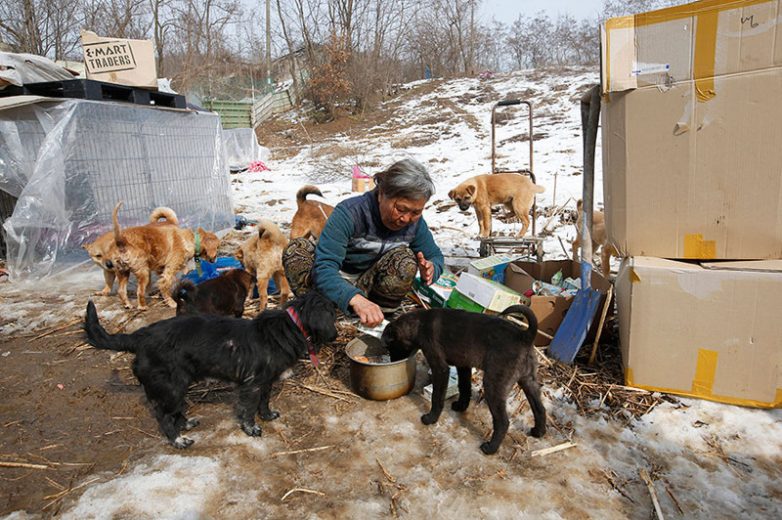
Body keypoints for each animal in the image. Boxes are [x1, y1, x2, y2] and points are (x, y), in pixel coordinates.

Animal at [84, 290, 338, 448]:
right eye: (333, 315)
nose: (336, 336)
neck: (290, 326)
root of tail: (139, 336)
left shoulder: (265, 383)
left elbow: (264, 403)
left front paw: (267, 416)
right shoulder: (251, 385)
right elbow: (248, 410)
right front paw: (252, 429)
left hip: (177, 386)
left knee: (174, 412)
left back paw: (185, 424)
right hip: (172, 387)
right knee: (164, 416)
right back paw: (178, 440)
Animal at [382, 304, 548, 456]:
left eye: (391, 348)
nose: (392, 361)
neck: (419, 324)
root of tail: (525, 337)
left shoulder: (440, 368)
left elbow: (437, 396)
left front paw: (431, 418)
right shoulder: (463, 365)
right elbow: (464, 387)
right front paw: (461, 406)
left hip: (494, 385)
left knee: (503, 422)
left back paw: (490, 448)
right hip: (528, 381)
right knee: (539, 408)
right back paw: (538, 431)